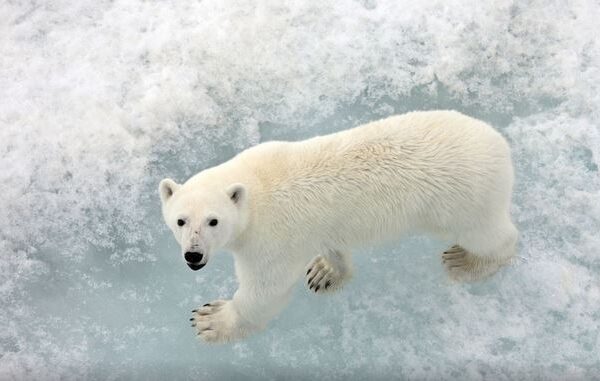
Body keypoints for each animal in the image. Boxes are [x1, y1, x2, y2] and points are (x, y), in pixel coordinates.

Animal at [158, 109, 516, 342]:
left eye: (213, 221)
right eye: (180, 220)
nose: (193, 255)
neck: (256, 186)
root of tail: (501, 146)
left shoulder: (271, 240)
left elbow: (266, 289)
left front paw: (212, 320)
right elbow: (331, 246)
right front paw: (325, 272)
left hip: (461, 201)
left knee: (490, 236)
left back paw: (465, 261)